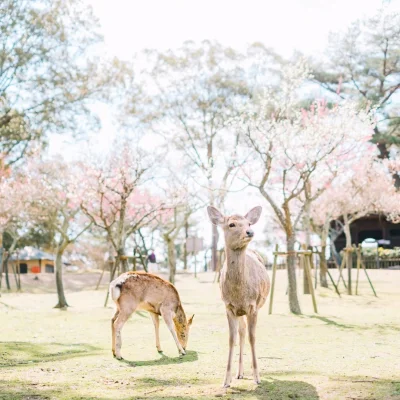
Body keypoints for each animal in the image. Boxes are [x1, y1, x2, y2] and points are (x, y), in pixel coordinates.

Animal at [208, 206, 270, 388]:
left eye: (249, 223)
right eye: (232, 224)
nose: (250, 232)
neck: (238, 293)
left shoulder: (253, 306)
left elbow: (252, 337)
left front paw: (257, 377)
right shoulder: (229, 307)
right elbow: (231, 339)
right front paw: (226, 380)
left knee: (246, 333)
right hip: (239, 312)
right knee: (241, 332)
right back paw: (239, 373)